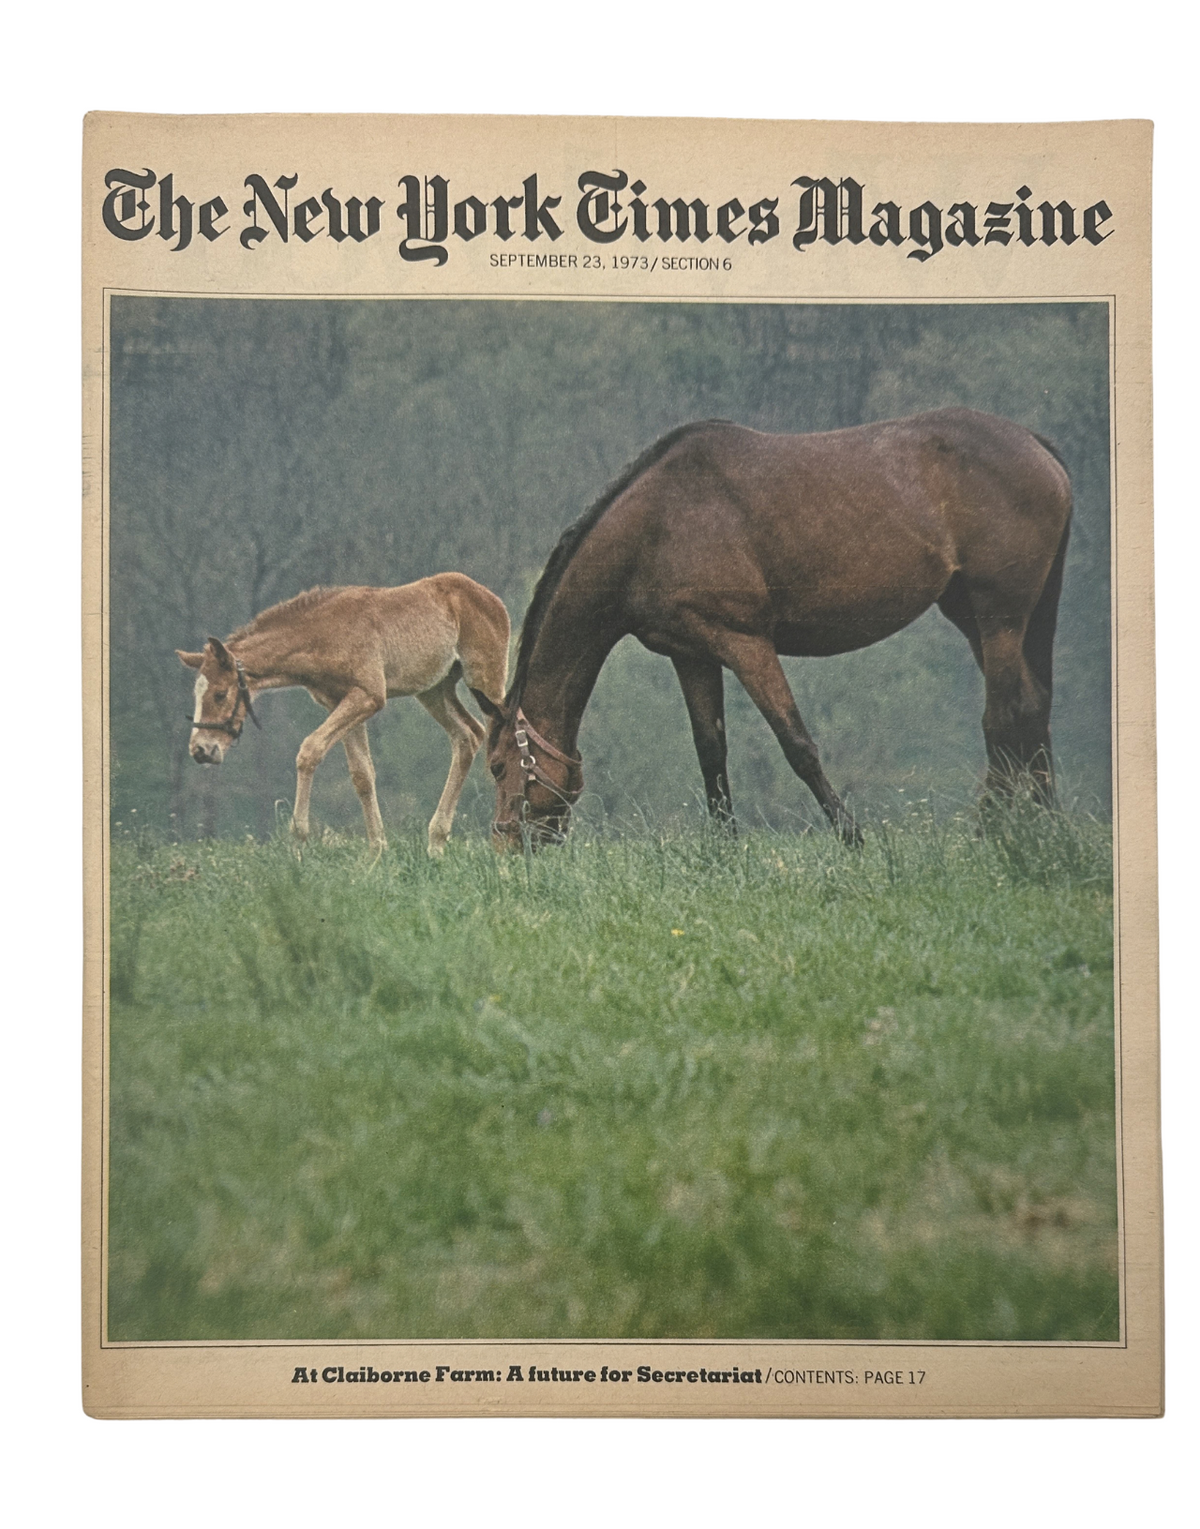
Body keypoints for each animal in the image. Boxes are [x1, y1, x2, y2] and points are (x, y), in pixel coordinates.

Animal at [177, 573, 510, 856]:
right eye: (196, 694)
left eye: (220, 694)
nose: (201, 749)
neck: (321, 634)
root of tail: (492, 599)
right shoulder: (340, 702)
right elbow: (362, 774)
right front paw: (377, 852)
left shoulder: (368, 695)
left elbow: (310, 750)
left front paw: (298, 842)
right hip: (434, 690)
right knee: (468, 736)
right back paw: (436, 843)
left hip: (485, 678)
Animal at [473, 408, 1072, 849]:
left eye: (500, 766)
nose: (507, 847)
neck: (656, 526)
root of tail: (1037, 446)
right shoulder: (692, 654)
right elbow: (711, 753)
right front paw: (724, 851)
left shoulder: (745, 643)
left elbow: (797, 744)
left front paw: (853, 840)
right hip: (980, 617)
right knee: (1033, 710)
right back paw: (1049, 833)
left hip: (998, 617)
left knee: (1004, 718)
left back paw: (990, 833)